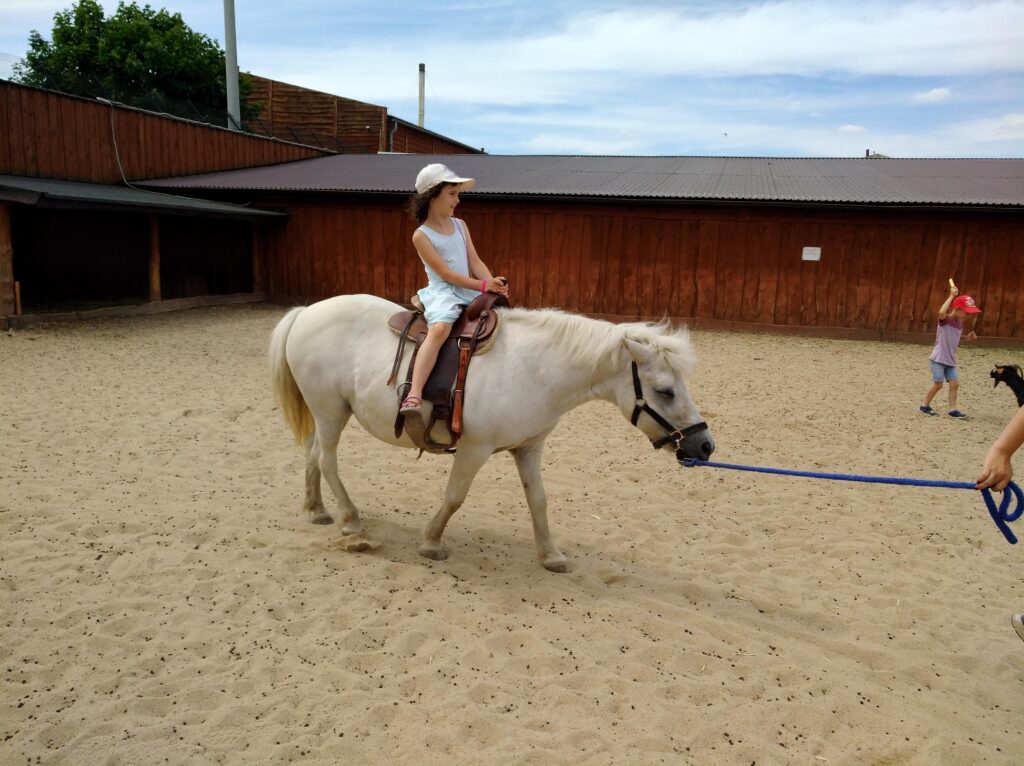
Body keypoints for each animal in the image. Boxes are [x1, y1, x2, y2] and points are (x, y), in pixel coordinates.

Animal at [268, 296, 712, 573]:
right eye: (665, 391)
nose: (704, 445)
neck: (534, 367)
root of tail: (306, 312)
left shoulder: (530, 449)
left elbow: (539, 501)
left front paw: (550, 555)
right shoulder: (474, 450)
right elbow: (454, 497)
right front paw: (431, 542)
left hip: (324, 414)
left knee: (312, 455)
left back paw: (318, 510)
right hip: (330, 411)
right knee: (326, 460)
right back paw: (351, 521)